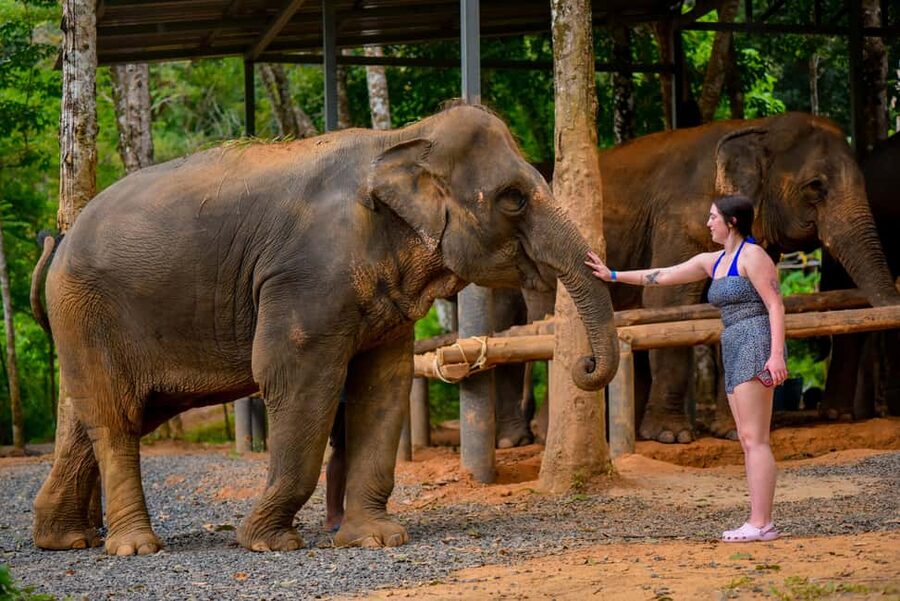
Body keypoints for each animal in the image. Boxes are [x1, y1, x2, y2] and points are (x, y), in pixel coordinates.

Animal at [29, 103, 619, 556]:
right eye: (513, 198)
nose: (584, 363)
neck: (400, 140)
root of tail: (61, 239)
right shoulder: (305, 279)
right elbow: (296, 382)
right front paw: (267, 542)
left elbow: (383, 386)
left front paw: (377, 539)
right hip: (86, 310)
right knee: (116, 419)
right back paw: (134, 548)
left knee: (95, 415)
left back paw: (65, 540)